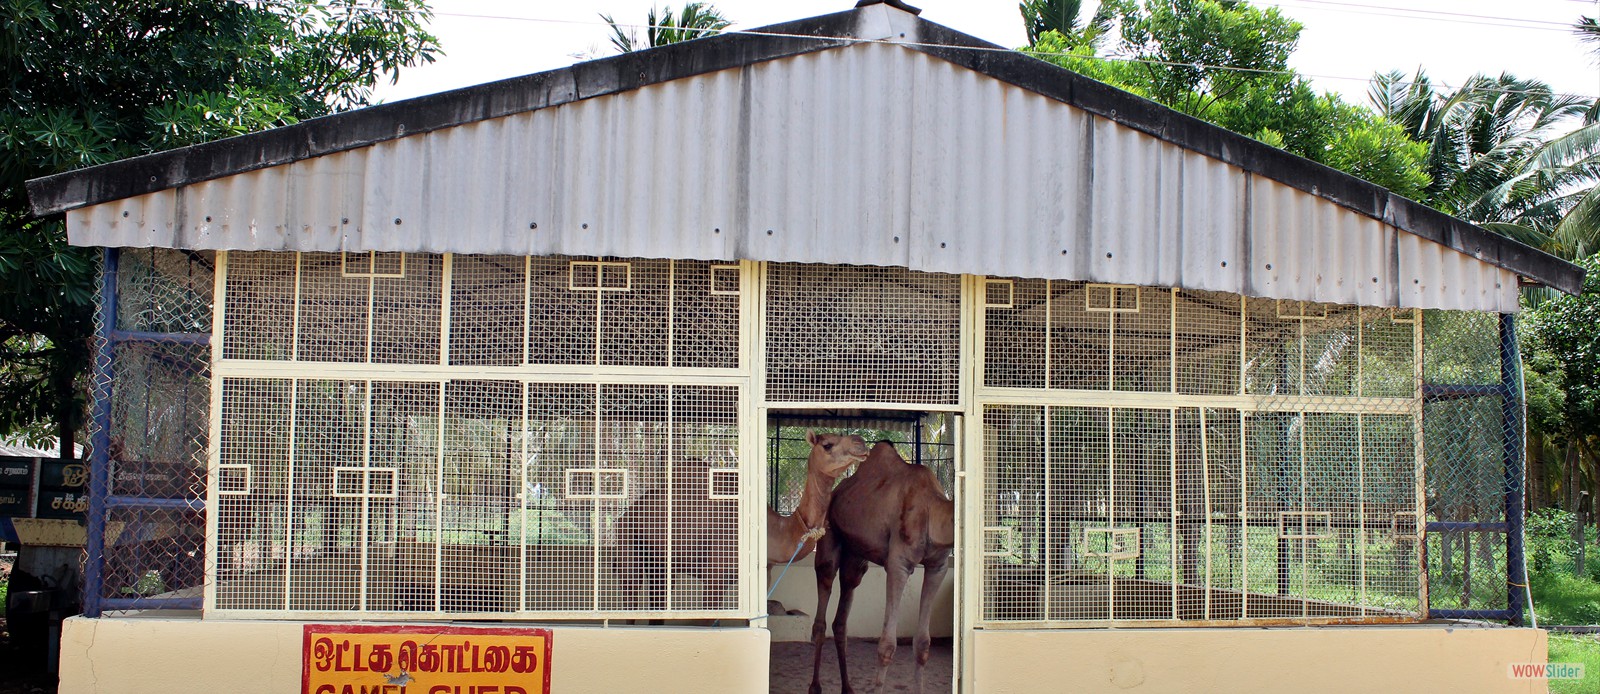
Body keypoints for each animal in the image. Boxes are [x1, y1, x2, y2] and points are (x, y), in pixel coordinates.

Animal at [812, 441, 947, 694]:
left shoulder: (938, 566)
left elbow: (923, 644)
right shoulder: (898, 564)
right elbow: (886, 646)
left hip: (855, 557)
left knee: (842, 613)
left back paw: (848, 688)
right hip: (828, 535)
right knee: (822, 603)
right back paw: (815, 688)